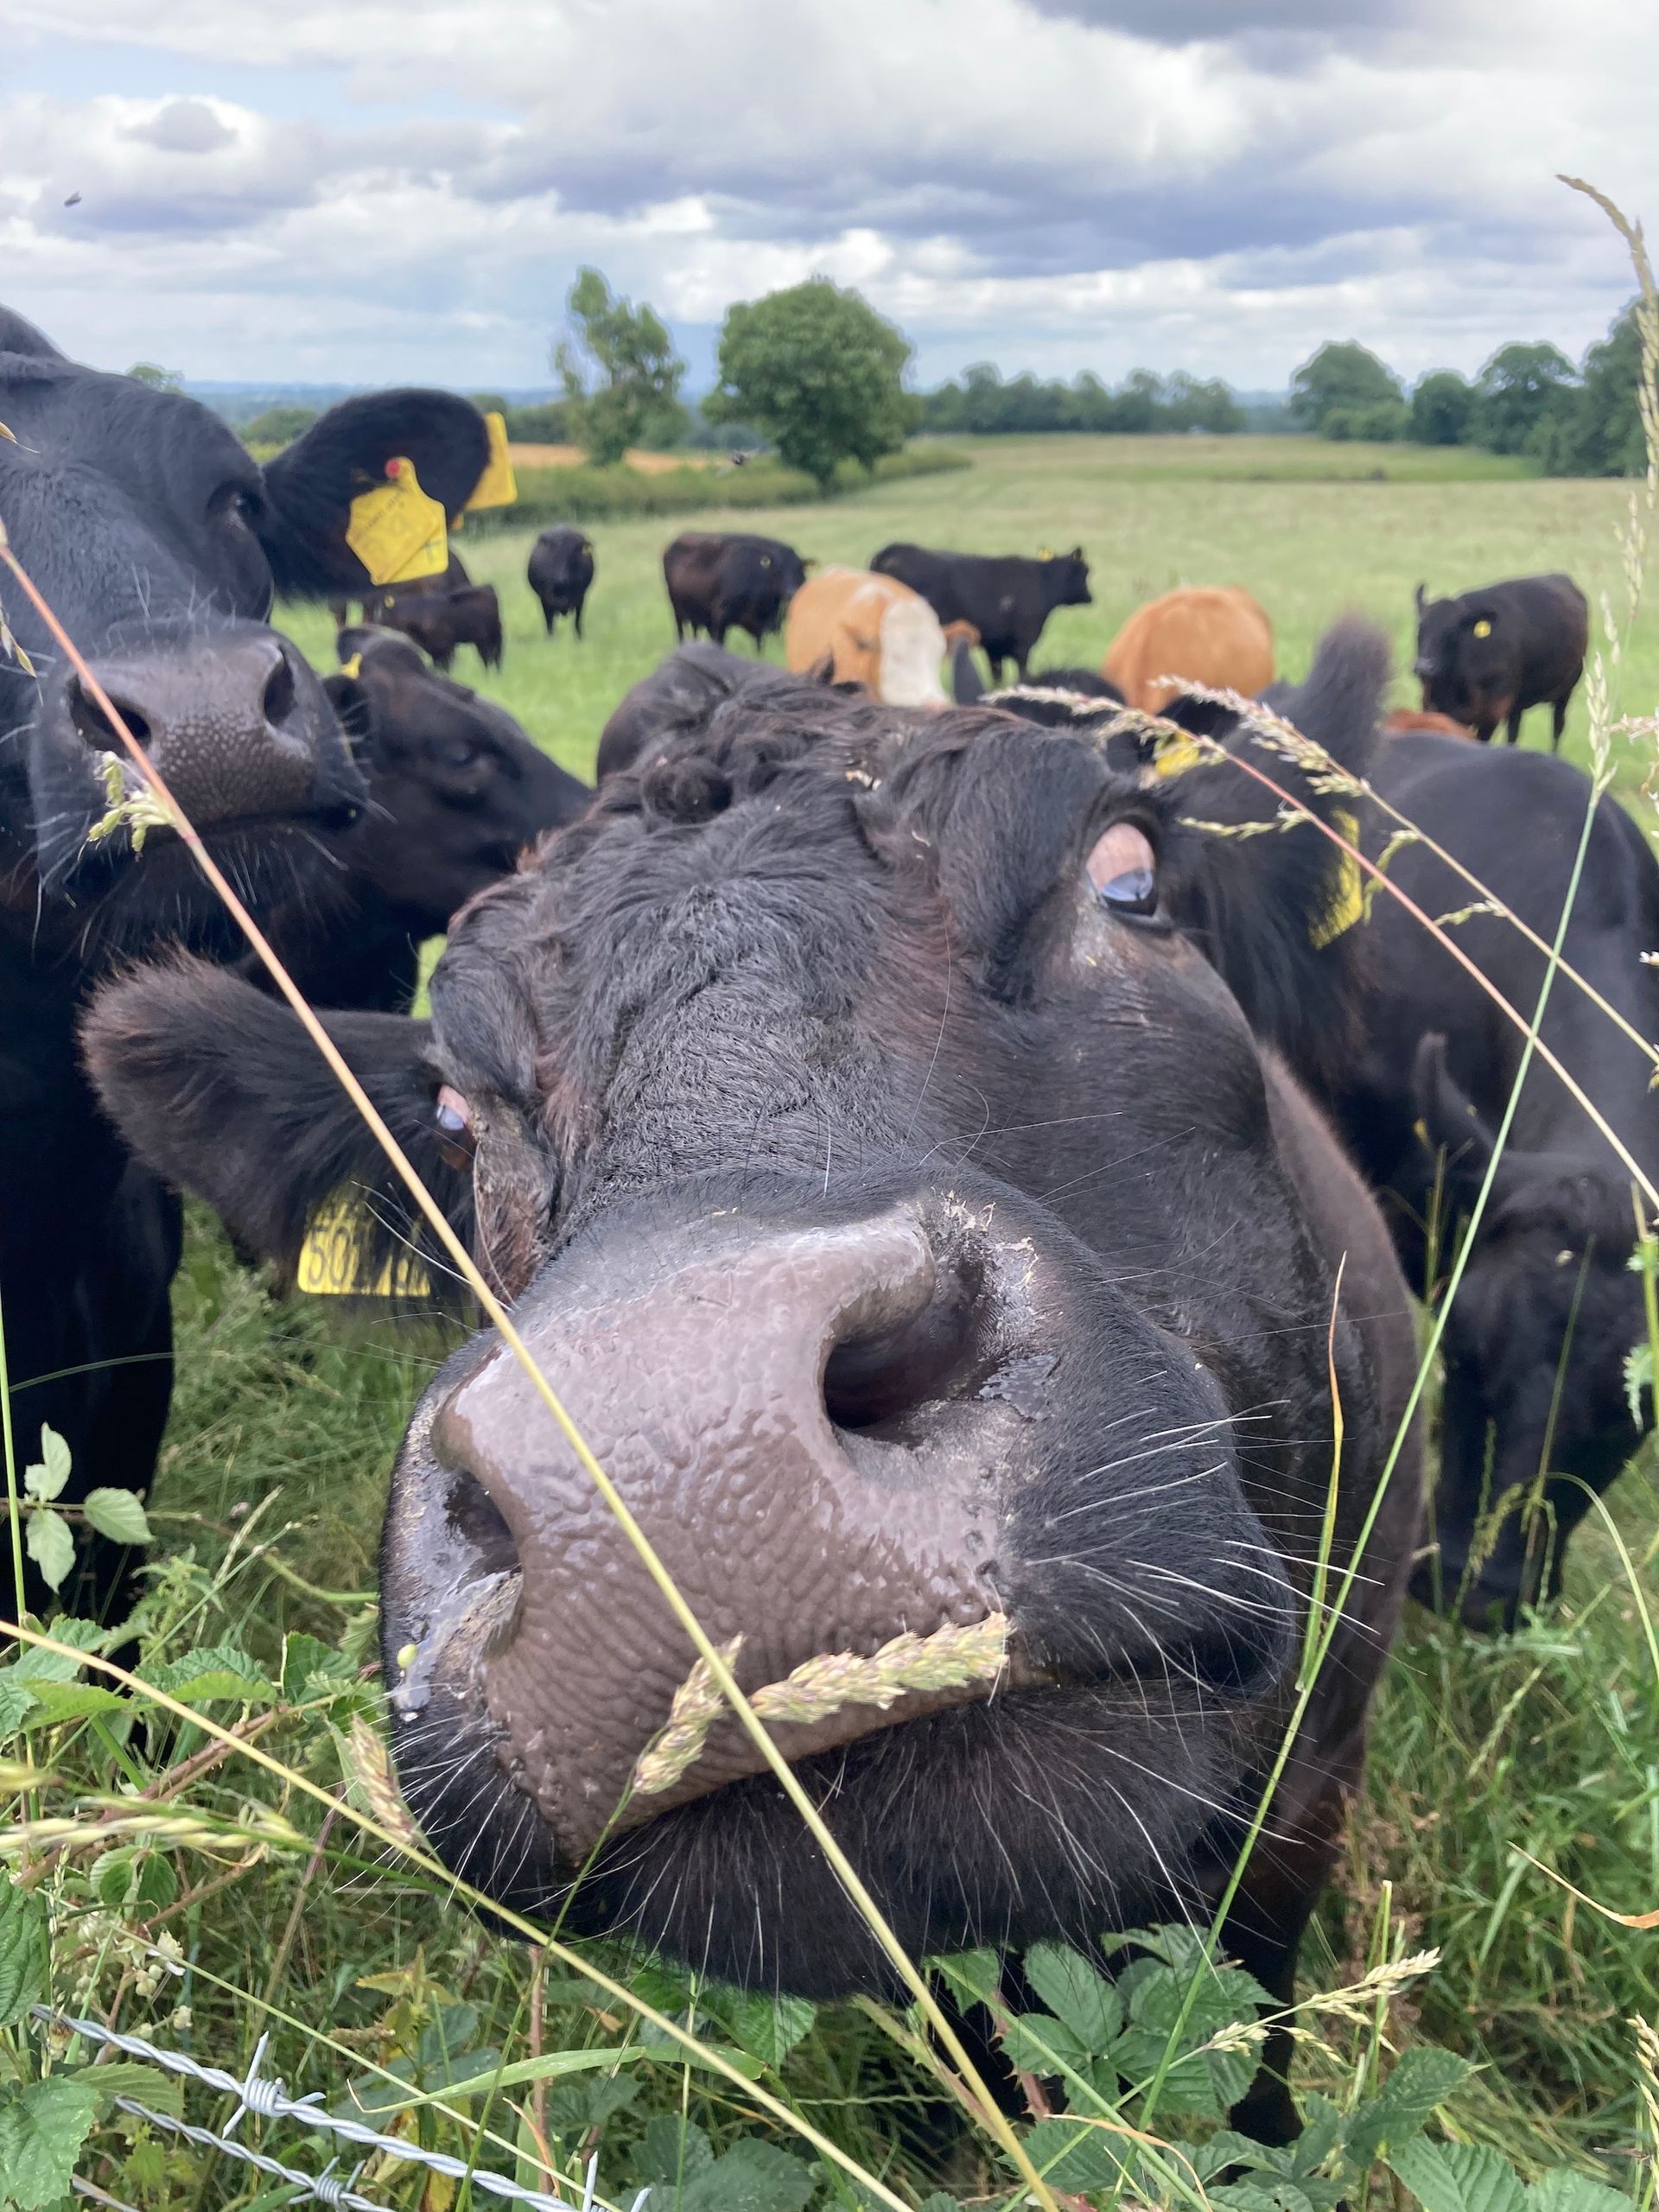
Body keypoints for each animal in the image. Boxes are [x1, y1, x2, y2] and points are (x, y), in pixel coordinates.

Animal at [374, 581, 503, 674]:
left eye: (383, 611)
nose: (377, 621)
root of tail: (486, 586)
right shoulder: (434, 649)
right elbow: (438, 666)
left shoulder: (447, 645)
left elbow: (447, 666)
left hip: (491, 636)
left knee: (492, 657)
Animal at [527, 526, 595, 639]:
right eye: (554, 555)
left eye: (572, 555)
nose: (562, 579)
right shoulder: (545, 600)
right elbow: (549, 623)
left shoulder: (580, 598)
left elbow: (577, 622)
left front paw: (579, 638)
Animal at [663, 532, 808, 650]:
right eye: (778, 570)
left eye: (799, 569)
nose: (791, 592)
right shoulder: (720, 617)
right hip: (678, 612)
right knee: (681, 632)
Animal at [870, 542, 1091, 684]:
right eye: (1085, 572)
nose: (1091, 597)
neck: (1043, 583)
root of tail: (891, 551)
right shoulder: (1024, 643)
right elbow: (1023, 673)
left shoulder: (994, 645)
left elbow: (997, 676)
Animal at [1413, 574, 1588, 749]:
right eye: (1420, 628)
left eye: (1453, 631)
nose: (1424, 667)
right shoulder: (1433, 707)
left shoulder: (1492, 712)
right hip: (1517, 703)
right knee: (1514, 731)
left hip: (1567, 689)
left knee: (1557, 728)